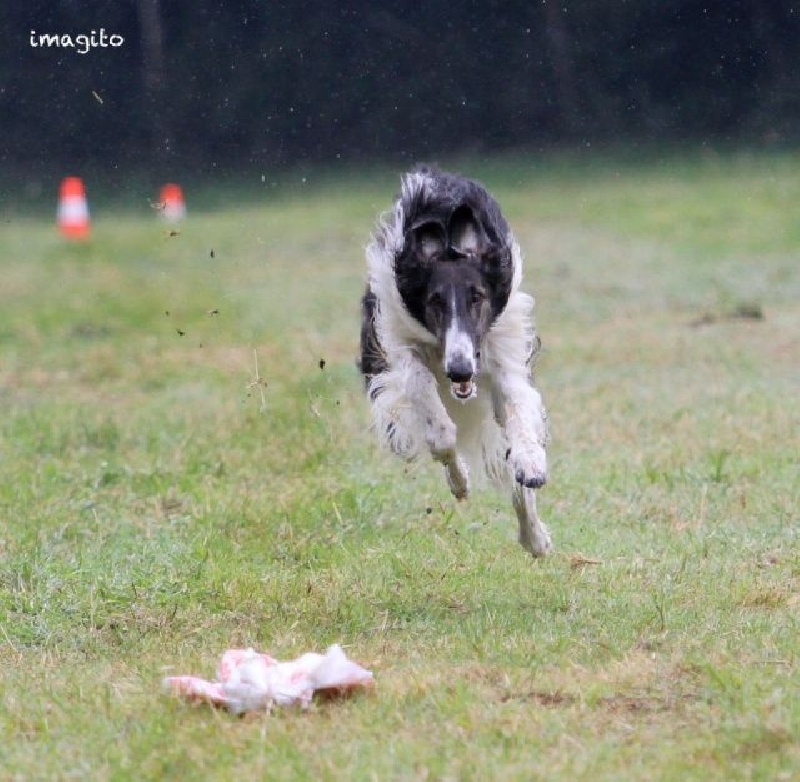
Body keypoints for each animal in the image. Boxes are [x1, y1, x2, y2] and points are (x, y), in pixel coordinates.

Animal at [356, 167, 552, 556]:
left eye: (477, 296)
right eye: (434, 301)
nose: (459, 370)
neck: (447, 237)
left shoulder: (501, 353)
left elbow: (519, 410)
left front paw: (531, 464)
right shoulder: (398, 343)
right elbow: (438, 430)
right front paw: (460, 479)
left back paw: (534, 536)